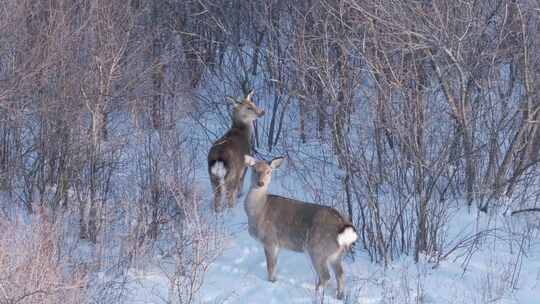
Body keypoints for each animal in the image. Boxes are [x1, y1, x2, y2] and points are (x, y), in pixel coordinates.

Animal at [243, 154, 356, 300]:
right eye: (254, 170)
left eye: (269, 171)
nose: (260, 183)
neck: (258, 211)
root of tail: (343, 226)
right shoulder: (278, 244)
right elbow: (275, 265)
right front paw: (275, 280)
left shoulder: (270, 239)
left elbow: (270, 266)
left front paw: (270, 282)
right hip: (336, 254)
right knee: (340, 274)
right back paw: (339, 296)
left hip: (318, 249)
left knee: (326, 275)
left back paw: (317, 293)